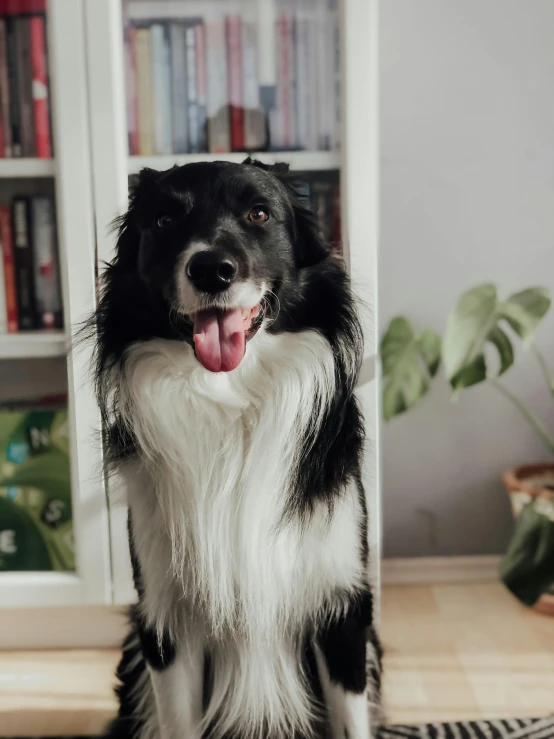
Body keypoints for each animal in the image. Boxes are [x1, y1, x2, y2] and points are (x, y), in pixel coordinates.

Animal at [91, 159, 384, 736]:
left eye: (259, 214)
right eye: (164, 221)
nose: (211, 269)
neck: (230, 400)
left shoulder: (342, 609)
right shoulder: (166, 621)